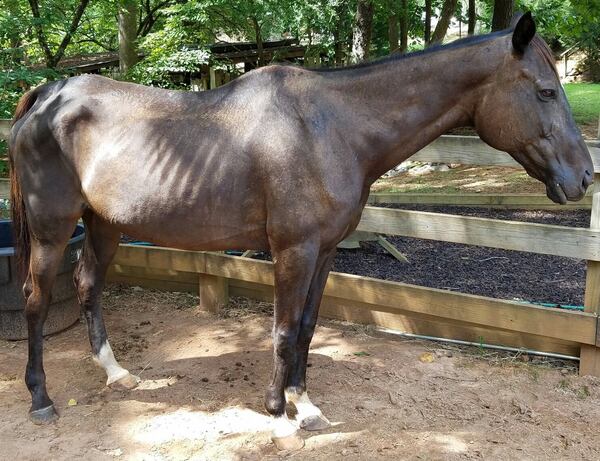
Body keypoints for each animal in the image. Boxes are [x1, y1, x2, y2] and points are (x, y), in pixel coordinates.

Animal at [7, 13, 592, 450]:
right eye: (545, 91)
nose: (584, 177)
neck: (331, 127)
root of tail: (49, 96)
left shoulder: (326, 252)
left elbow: (308, 328)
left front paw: (303, 405)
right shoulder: (294, 251)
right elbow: (284, 331)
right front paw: (279, 415)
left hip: (104, 226)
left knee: (88, 286)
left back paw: (116, 373)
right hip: (53, 231)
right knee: (36, 299)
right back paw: (41, 399)